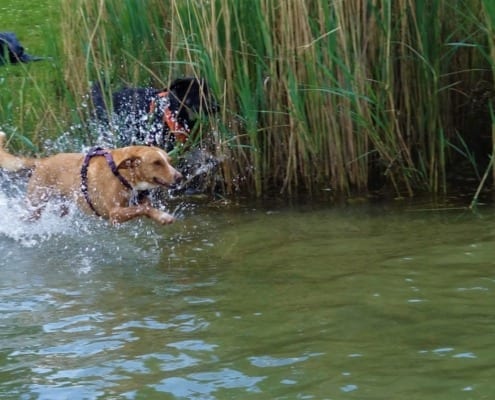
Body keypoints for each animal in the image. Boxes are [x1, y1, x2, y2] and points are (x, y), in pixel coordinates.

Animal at [0, 131, 183, 225]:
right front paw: (164, 216)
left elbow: (146, 207)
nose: (180, 177)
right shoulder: (114, 214)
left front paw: (160, 216)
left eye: (169, 161)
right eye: (157, 163)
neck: (121, 173)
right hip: (35, 205)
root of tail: (41, 161)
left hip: (62, 205)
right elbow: (142, 209)